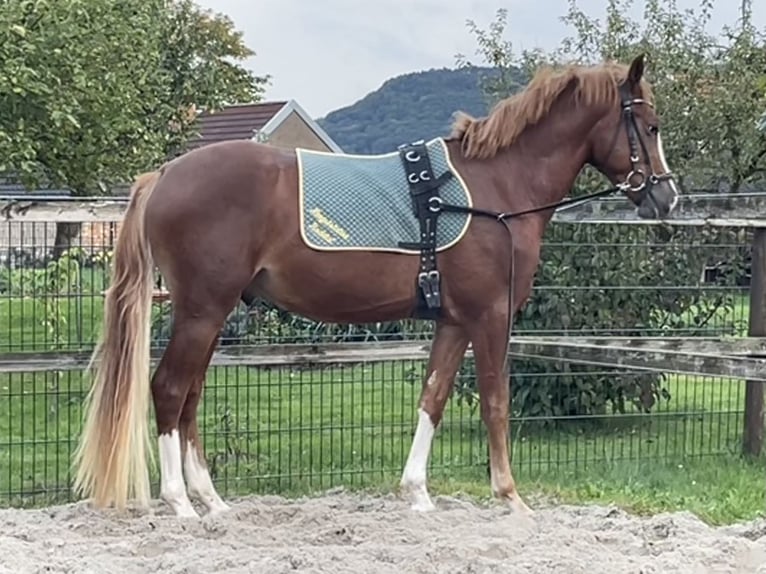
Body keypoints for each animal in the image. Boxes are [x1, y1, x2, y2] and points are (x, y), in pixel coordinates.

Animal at [73, 56, 680, 520]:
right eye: (650, 126)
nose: (667, 198)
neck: (496, 188)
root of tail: (165, 175)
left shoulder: (453, 320)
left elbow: (432, 397)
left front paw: (417, 494)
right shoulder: (490, 316)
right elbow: (496, 402)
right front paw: (509, 497)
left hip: (211, 314)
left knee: (190, 396)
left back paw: (213, 502)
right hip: (203, 310)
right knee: (170, 390)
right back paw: (180, 504)